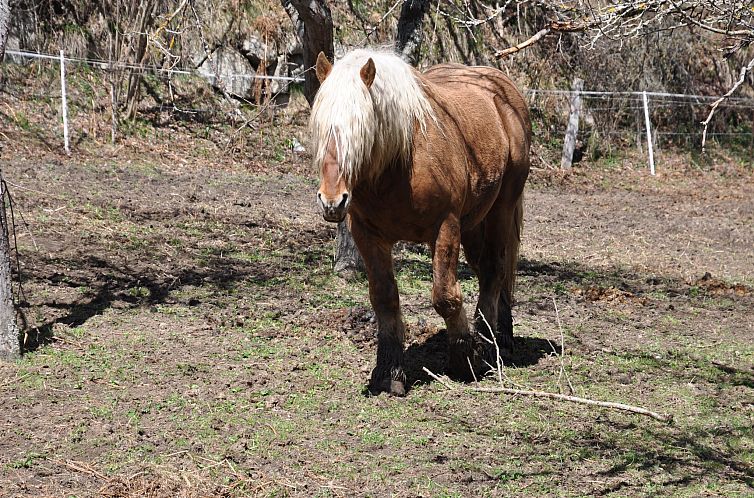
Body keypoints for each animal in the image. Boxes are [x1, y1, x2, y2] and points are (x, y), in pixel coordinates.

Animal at [310, 48, 528, 394]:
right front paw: (390, 372)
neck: (400, 161)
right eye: (320, 131)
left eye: (361, 131)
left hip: (500, 211)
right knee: (490, 272)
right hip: (474, 225)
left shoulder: (446, 228)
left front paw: (463, 361)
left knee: (495, 270)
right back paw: (499, 336)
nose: (332, 201)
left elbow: (445, 297)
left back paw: (488, 344)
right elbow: (384, 299)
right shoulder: (368, 236)